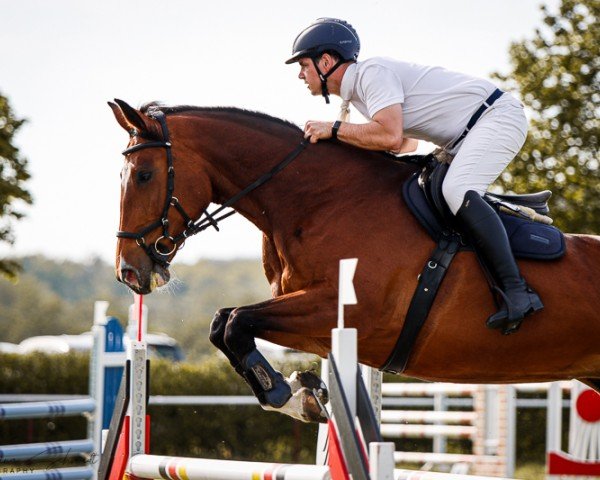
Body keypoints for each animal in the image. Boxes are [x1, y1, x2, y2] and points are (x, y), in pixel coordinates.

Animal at [109, 99, 600, 422]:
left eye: (144, 175)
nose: (129, 271)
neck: (318, 201)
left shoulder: (348, 312)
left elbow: (233, 322)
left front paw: (288, 393)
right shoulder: (313, 321)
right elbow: (224, 323)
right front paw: (302, 391)